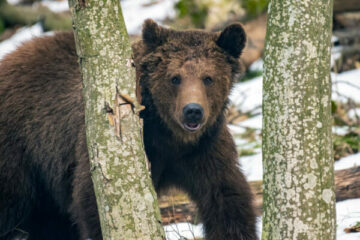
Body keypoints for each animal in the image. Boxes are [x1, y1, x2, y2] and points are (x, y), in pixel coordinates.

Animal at [0, 19, 256, 239]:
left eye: (208, 78)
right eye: (175, 78)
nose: (192, 110)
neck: (169, 136)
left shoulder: (204, 148)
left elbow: (227, 199)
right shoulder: (108, 142)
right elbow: (93, 199)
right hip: (20, 153)